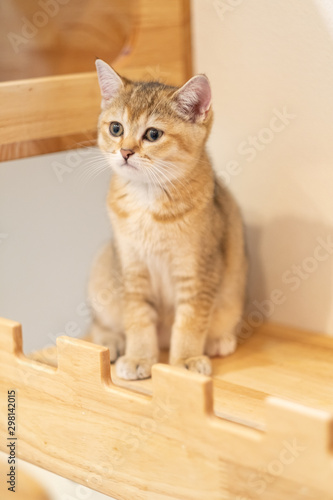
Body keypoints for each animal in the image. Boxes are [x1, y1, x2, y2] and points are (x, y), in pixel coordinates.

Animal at [88, 59, 246, 378]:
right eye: (116, 128)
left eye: (153, 135)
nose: (125, 151)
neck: (147, 200)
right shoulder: (131, 268)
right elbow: (137, 319)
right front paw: (139, 357)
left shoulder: (198, 270)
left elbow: (190, 320)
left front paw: (185, 360)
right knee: (95, 322)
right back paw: (112, 340)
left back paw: (218, 340)